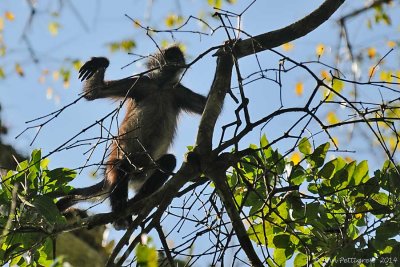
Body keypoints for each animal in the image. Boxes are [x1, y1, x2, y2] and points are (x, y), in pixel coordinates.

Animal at [57, 44, 208, 230]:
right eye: (171, 56)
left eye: (179, 59)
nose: (177, 62)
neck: (160, 86)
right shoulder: (142, 83)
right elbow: (95, 92)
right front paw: (100, 62)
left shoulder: (177, 91)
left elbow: (206, 105)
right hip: (120, 165)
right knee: (120, 165)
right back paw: (120, 210)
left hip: (146, 171)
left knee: (168, 161)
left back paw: (137, 202)